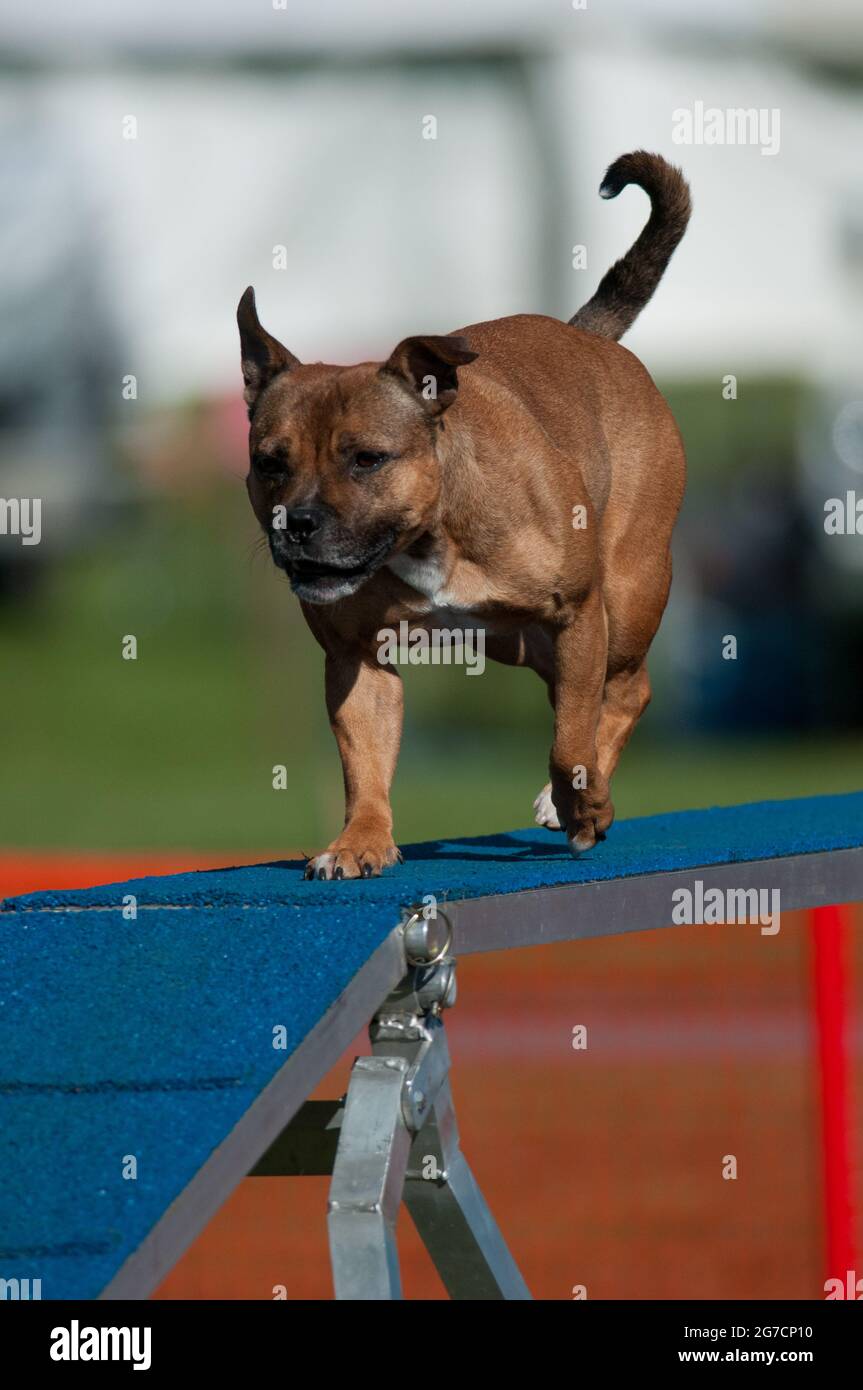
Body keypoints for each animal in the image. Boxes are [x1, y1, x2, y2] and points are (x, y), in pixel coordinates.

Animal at [239, 152, 689, 878]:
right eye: (269, 462)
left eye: (367, 459)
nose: (296, 523)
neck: (432, 533)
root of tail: (585, 337)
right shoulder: (357, 657)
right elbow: (364, 763)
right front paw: (359, 841)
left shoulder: (577, 615)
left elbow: (569, 742)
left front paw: (582, 805)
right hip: (522, 642)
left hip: (626, 593)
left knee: (624, 691)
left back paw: (573, 796)